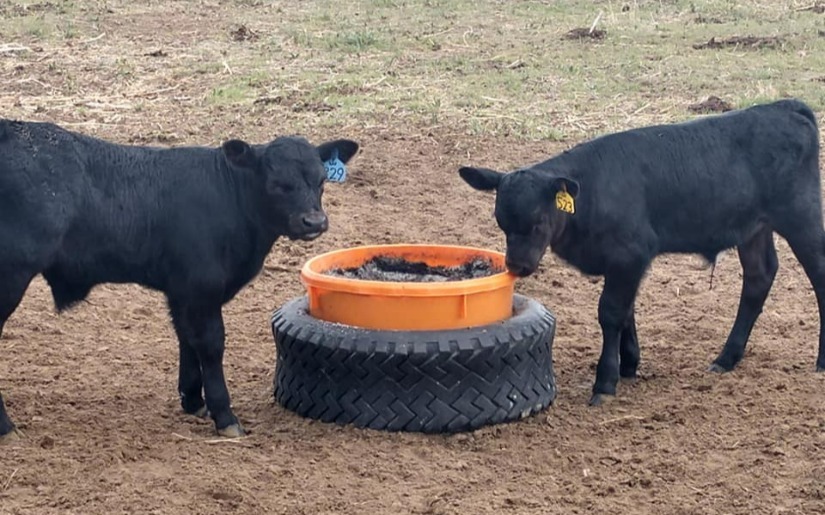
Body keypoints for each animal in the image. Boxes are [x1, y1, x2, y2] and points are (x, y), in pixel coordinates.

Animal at [0, 119, 360, 442]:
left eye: (321, 180)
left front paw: (193, 400)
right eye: (277, 183)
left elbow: (186, 337)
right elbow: (211, 345)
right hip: (12, 275)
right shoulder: (203, 289)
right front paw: (224, 415)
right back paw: (7, 428)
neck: (231, 199)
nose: (314, 221)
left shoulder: (182, 290)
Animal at [460, 99, 820, 408]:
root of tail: (784, 107)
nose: (517, 265)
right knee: (759, 276)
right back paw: (726, 358)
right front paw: (629, 364)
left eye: (537, 222)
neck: (592, 192)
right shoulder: (623, 264)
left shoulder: (629, 255)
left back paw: (820, 361)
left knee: (818, 277)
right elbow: (627, 311)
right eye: (501, 222)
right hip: (753, 229)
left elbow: (611, 312)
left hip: (801, 216)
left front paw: (605, 381)